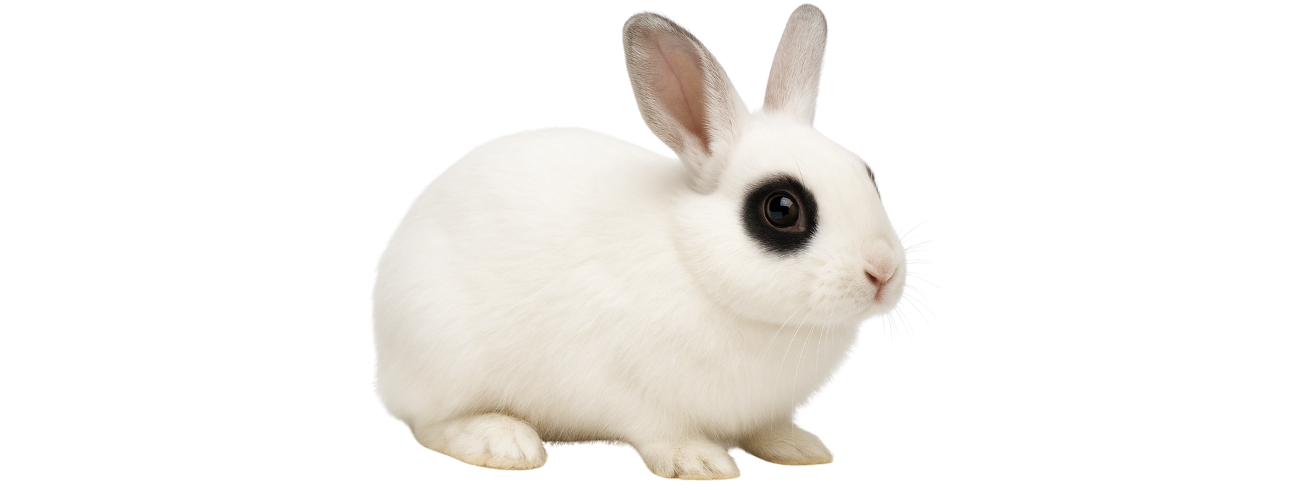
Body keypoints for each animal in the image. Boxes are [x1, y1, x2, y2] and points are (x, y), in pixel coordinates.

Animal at [373, 4, 905, 480]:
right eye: (781, 209)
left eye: (868, 174)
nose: (883, 272)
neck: (696, 266)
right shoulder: (632, 394)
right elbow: (662, 430)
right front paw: (699, 462)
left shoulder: (763, 408)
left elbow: (767, 428)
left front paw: (799, 448)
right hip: (445, 355)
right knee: (428, 424)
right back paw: (504, 443)